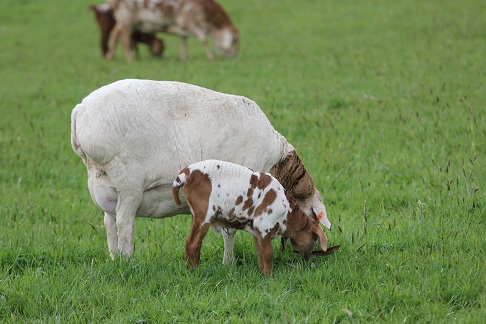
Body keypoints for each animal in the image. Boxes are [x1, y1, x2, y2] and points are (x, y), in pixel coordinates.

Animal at [71, 79, 330, 260]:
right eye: (311, 221)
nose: (308, 255)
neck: (276, 162)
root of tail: (81, 110)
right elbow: (230, 232)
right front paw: (229, 263)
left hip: (106, 185)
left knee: (110, 223)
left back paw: (115, 259)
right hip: (128, 183)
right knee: (125, 224)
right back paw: (127, 261)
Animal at [106, 0, 239, 62]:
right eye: (234, 41)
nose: (233, 58)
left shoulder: (183, 27)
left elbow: (183, 40)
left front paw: (184, 59)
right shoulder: (188, 21)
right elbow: (203, 39)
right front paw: (212, 58)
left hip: (124, 19)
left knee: (114, 34)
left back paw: (110, 57)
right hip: (127, 17)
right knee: (124, 40)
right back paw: (130, 60)